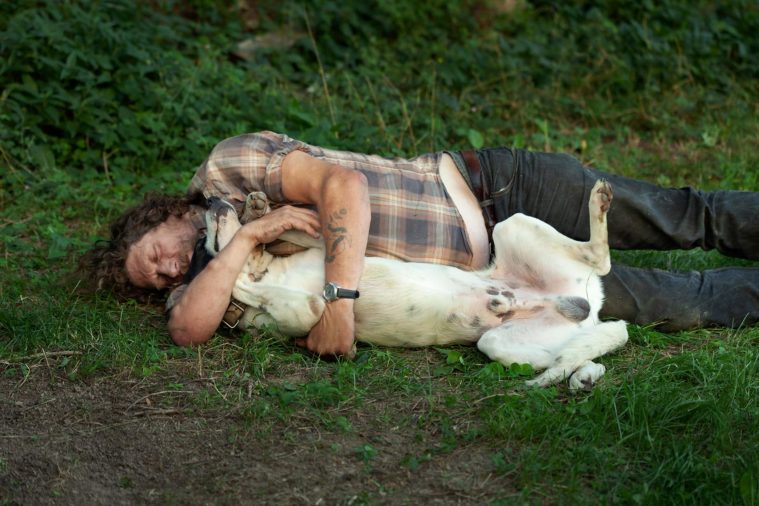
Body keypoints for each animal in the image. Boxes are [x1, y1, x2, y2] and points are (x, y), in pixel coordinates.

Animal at [205, 180, 628, 390]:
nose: (210, 202)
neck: (269, 270)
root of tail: (584, 304)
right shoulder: (301, 313)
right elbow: (251, 287)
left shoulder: (326, 248)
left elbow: (282, 236)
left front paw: (257, 212)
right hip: (503, 344)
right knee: (578, 350)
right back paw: (585, 375)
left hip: (513, 225)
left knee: (600, 259)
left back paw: (600, 201)